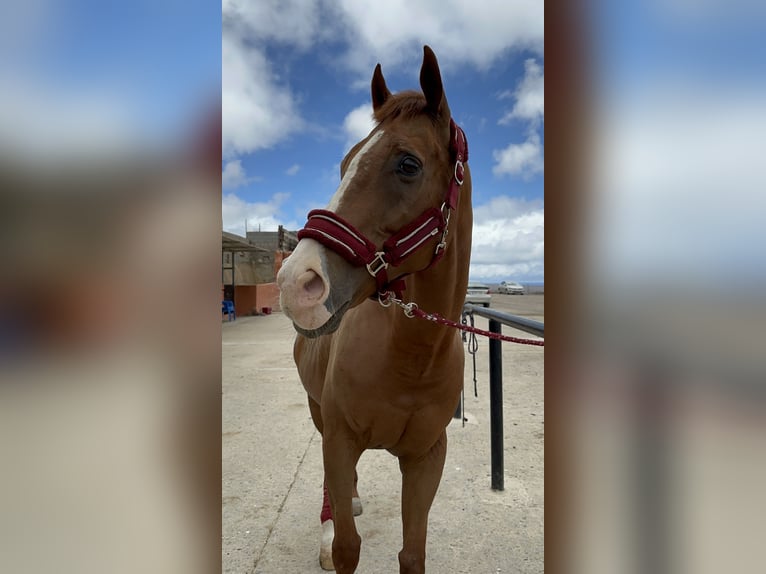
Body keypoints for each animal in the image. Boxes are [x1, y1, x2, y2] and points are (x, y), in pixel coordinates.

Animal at [276, 46, 468, 574]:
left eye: (407, 164)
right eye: (345, 164)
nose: (296, 281)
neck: (411, 358)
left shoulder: (426, 458)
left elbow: (412, 553)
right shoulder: (339, 440)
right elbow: (347, 546)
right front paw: (334, 536)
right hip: (317, 414)